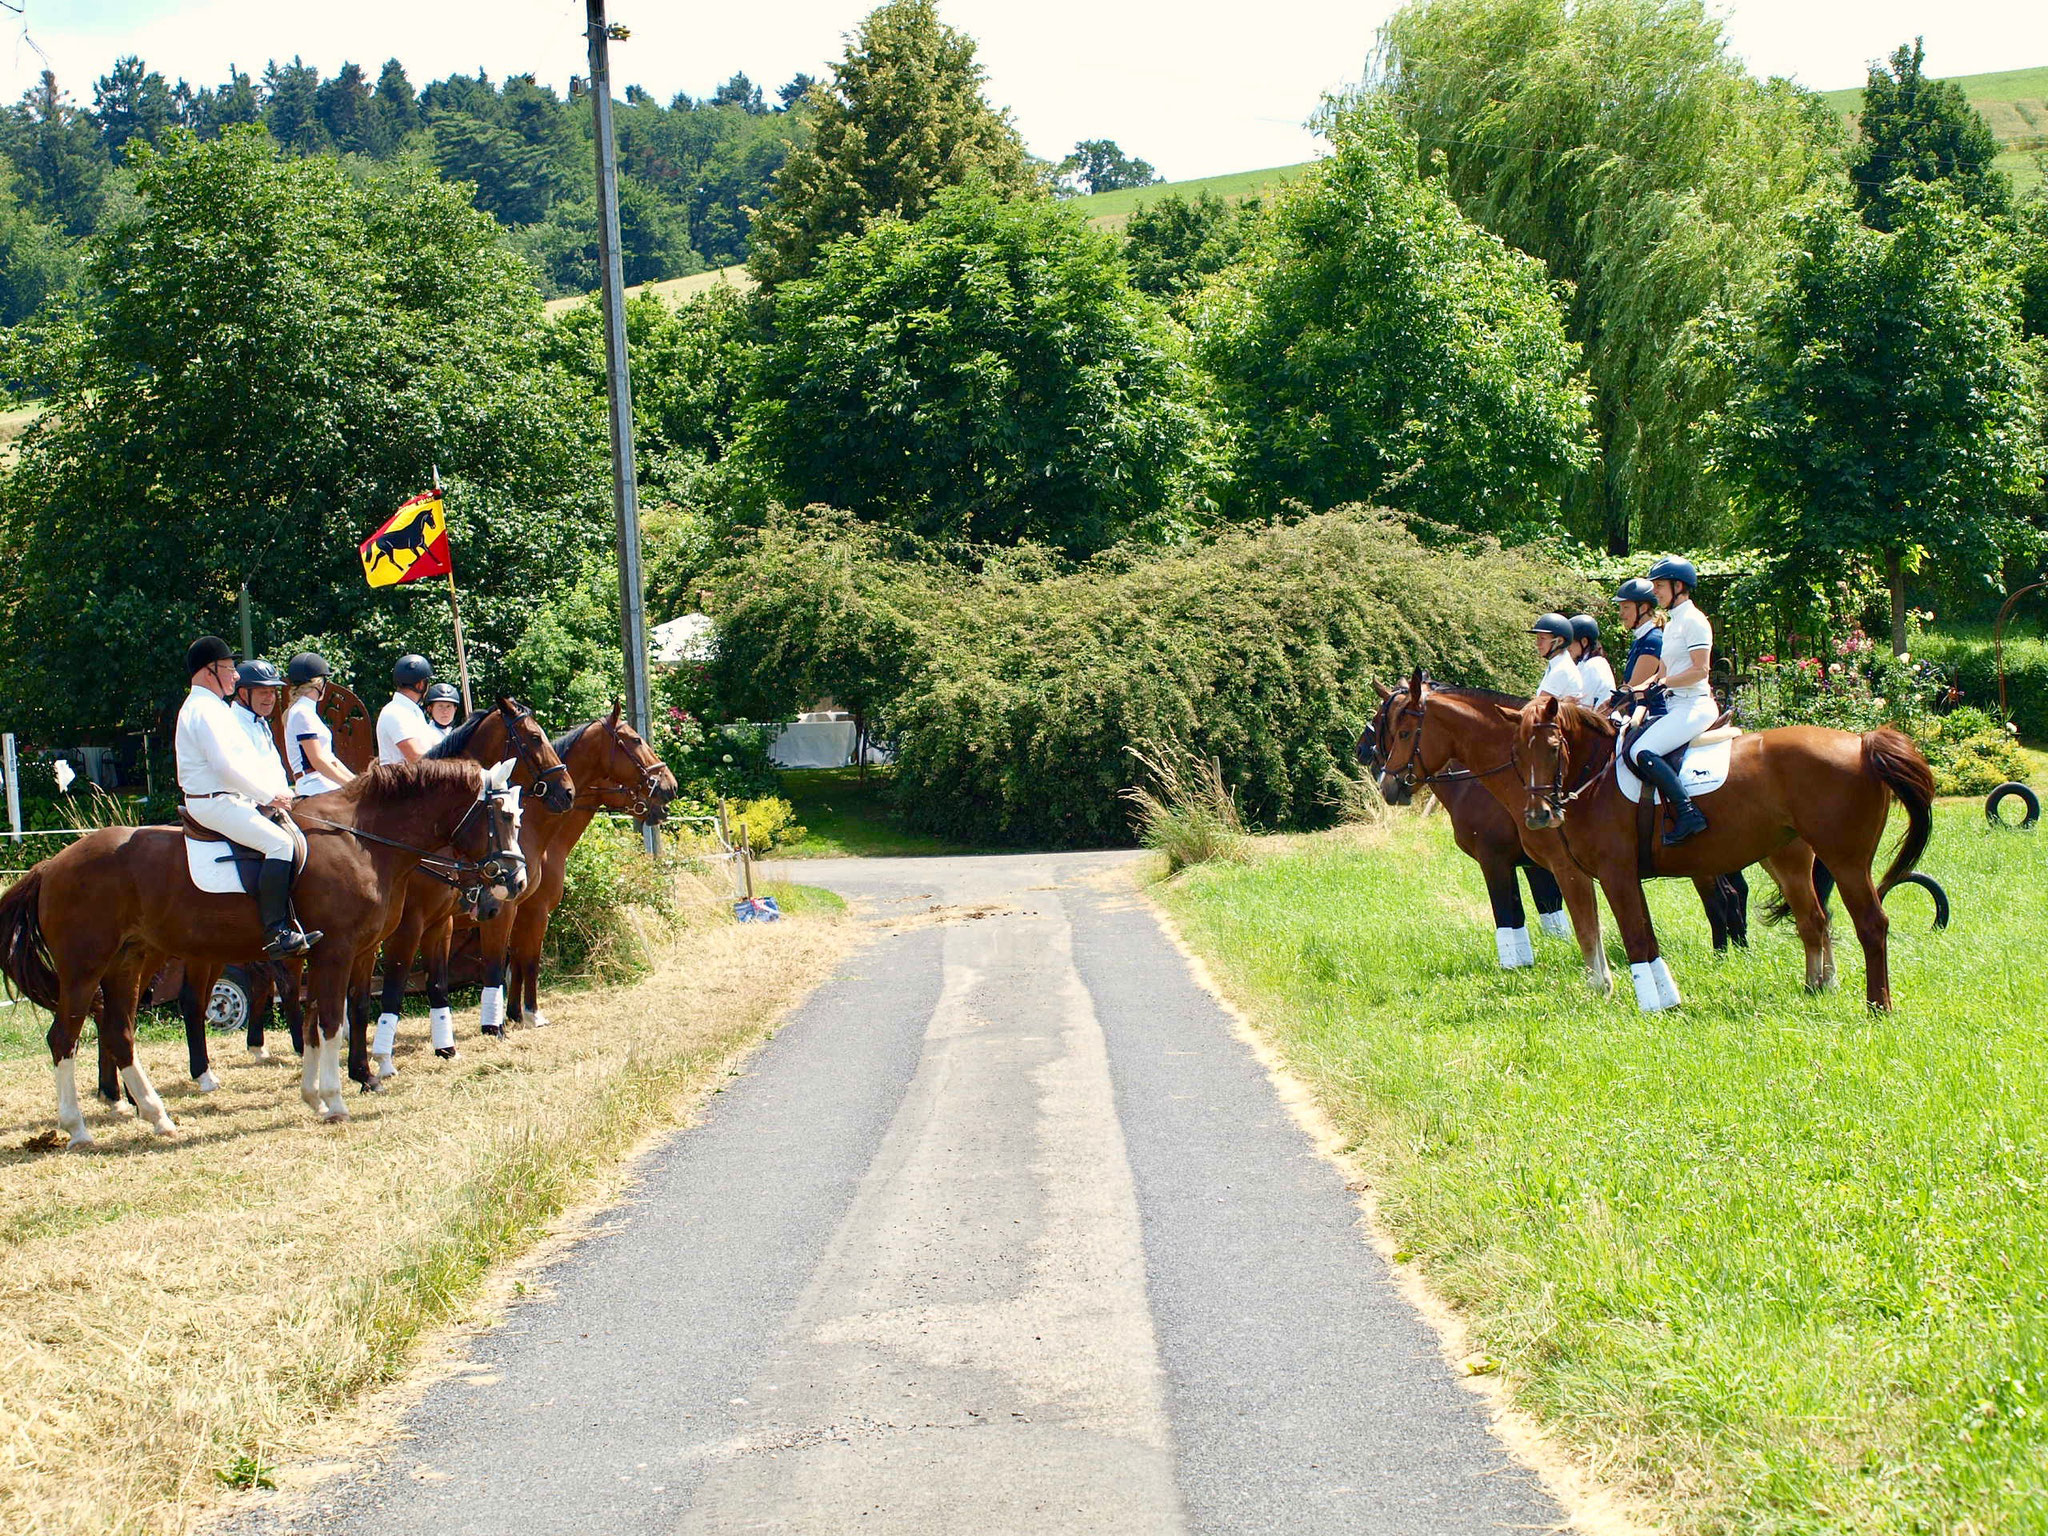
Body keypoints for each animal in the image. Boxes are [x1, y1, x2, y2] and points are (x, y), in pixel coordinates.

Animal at [4, 765, 528, 1146]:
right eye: (502, 817)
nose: (516, 882)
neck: (361, 839)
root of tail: (52, 864)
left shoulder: (335, 954)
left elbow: (317, 1022)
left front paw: (315, 1098)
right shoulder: (337, 952)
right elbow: (331, 1022)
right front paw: (337, 1100)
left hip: (127, 962)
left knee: (119, 1032)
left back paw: (156, 1116)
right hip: (85, 968)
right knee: (64, 1038)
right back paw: (78, 1129)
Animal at [1507, 696, 1933, 1011]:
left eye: (1553, 748)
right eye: (1517, 755)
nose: (1539, 816)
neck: (1596, 775)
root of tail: (1862, 742)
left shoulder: (1615, 874)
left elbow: (1635, 938)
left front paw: (1652, 1004)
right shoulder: (1620, 876)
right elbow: (1640, 934)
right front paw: (1665, 997)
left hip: (1846, 860)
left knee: (1871, 924)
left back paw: (1878, 1005)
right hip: (1790, 859)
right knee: (1813, 919)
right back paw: (1817, 985)